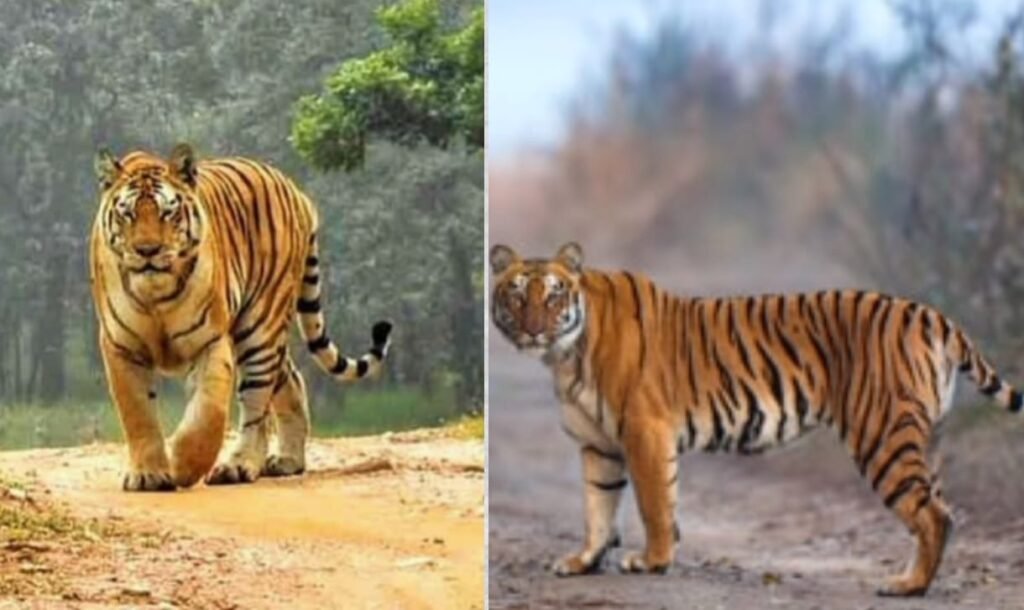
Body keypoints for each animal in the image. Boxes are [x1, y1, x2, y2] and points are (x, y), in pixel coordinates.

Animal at [90, 143, 392, 492]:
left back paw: (238, 466)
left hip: (261, 326)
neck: (156, 296)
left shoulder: (210, 341)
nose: (147, 250)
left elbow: (208, 413)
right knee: (290, 380)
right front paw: (149, 475)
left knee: (256, 403)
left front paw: (183, 465)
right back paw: (288, 460)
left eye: (168, 213)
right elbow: (138, 414)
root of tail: (296, 191)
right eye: (128, 213)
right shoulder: (121, 346)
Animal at [489, 241, 1023, 597]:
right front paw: (583, 561)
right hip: (922, 439)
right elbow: (598, 508)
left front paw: (653, 561)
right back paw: (913, 579)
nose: (533, 330)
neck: (565, 355)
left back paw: (906, 586)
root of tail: (931, 315)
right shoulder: (599, 445)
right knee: (941, 509)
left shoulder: (644, 431)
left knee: (933, 515)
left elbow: (654, 504)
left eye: (553, 296)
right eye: (515, 296)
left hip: (882, 435)